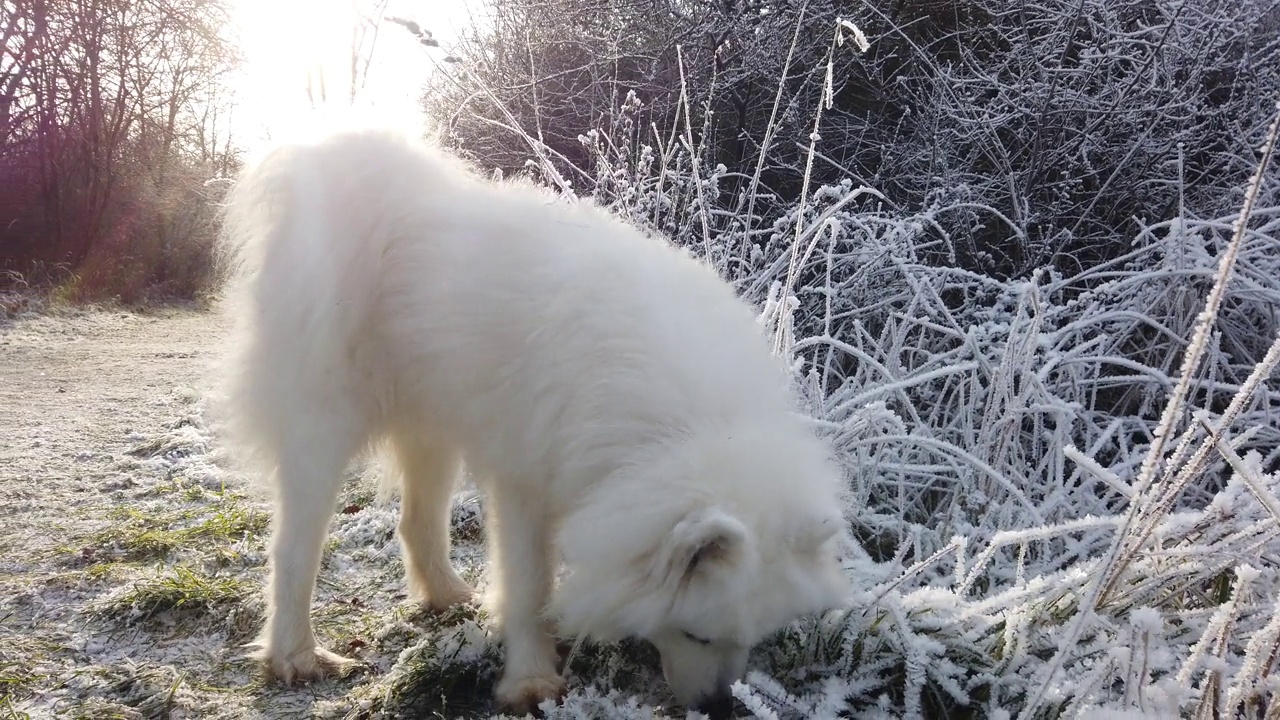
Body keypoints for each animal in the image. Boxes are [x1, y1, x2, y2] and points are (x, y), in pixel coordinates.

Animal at [217, 127, 849, 712]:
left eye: (751, 639)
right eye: (698, 634)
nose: (718, 708)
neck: (683, 427)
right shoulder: (525, 482)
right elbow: (529, 589)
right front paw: (531, 682)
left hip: (435, 427)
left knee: (417, 522)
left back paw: (448, 596)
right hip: (323, 427)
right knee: (294, 548)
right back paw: (297, 656)